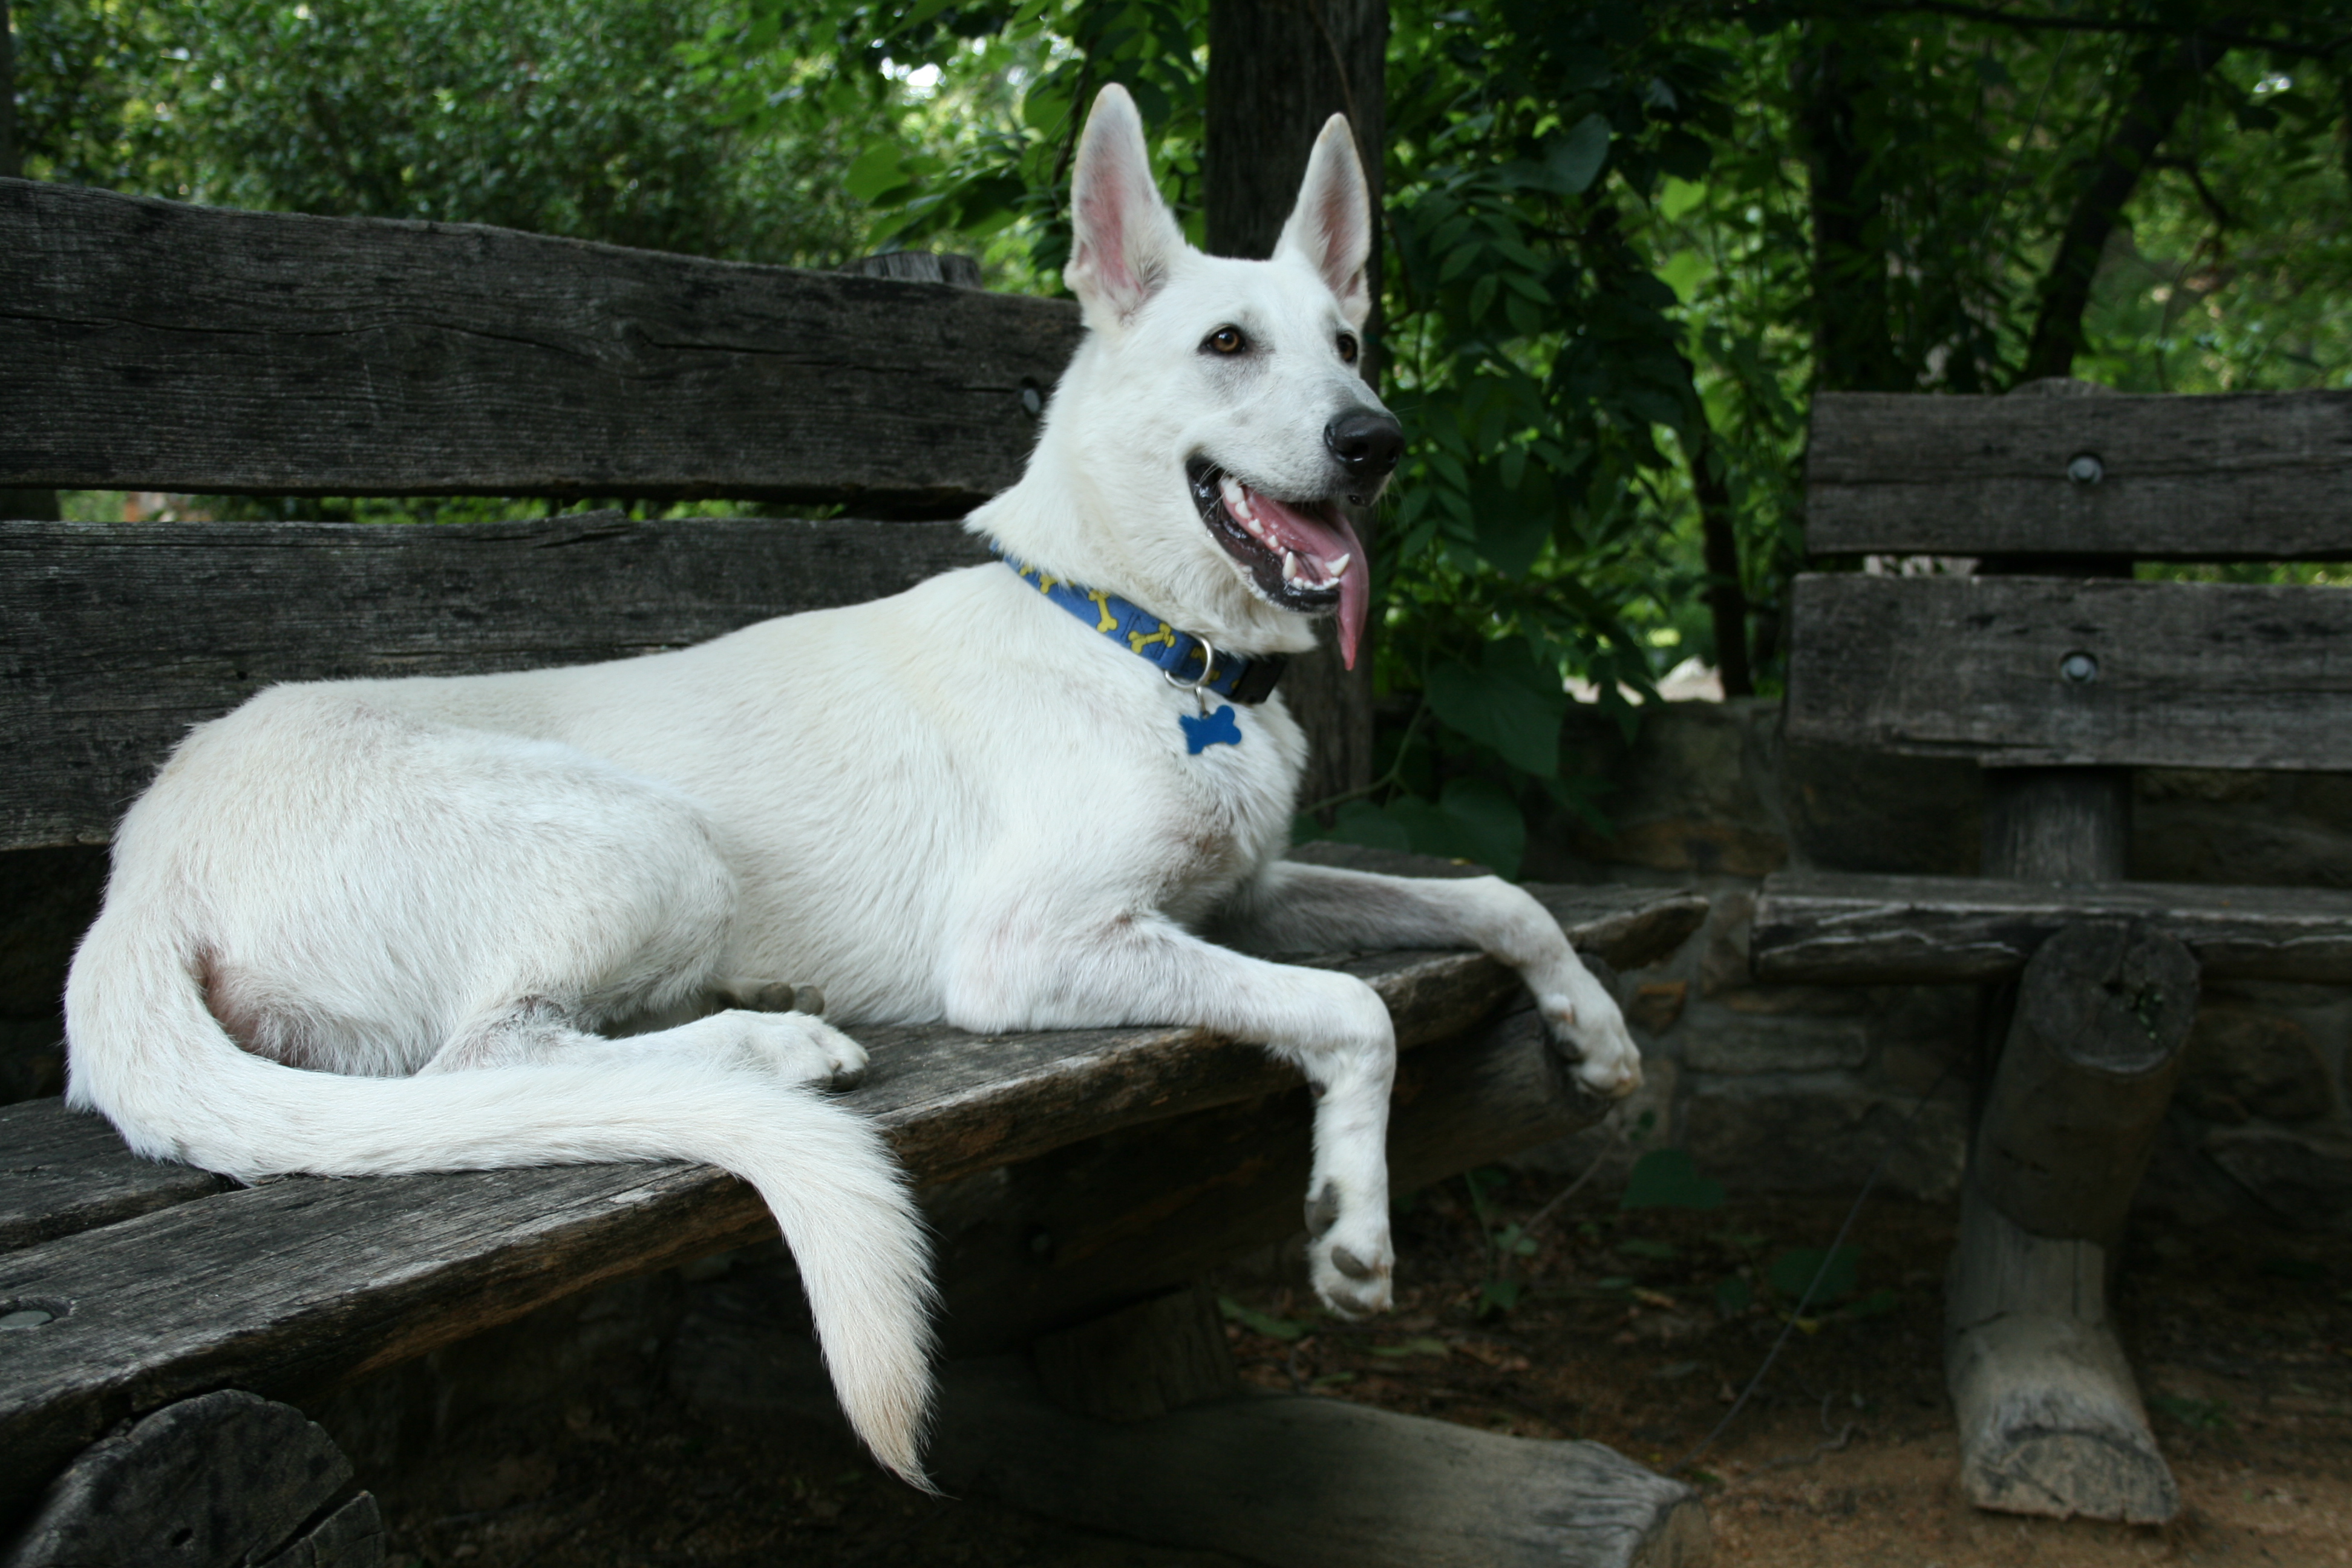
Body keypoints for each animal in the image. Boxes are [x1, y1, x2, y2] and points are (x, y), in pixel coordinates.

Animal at [55, 82, 1637, 1485]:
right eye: (1230, 343)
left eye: (1353, 340)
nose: (1376, 443)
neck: (1137, 636)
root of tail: (143, 868)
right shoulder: (1032, 947)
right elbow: (1356, 1012)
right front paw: (1353, 1226)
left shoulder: (1238, 897)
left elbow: (1496, 893)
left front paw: (1596, 1030)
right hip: (652, 840)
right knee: (488, 1062)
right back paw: (773, 1044)